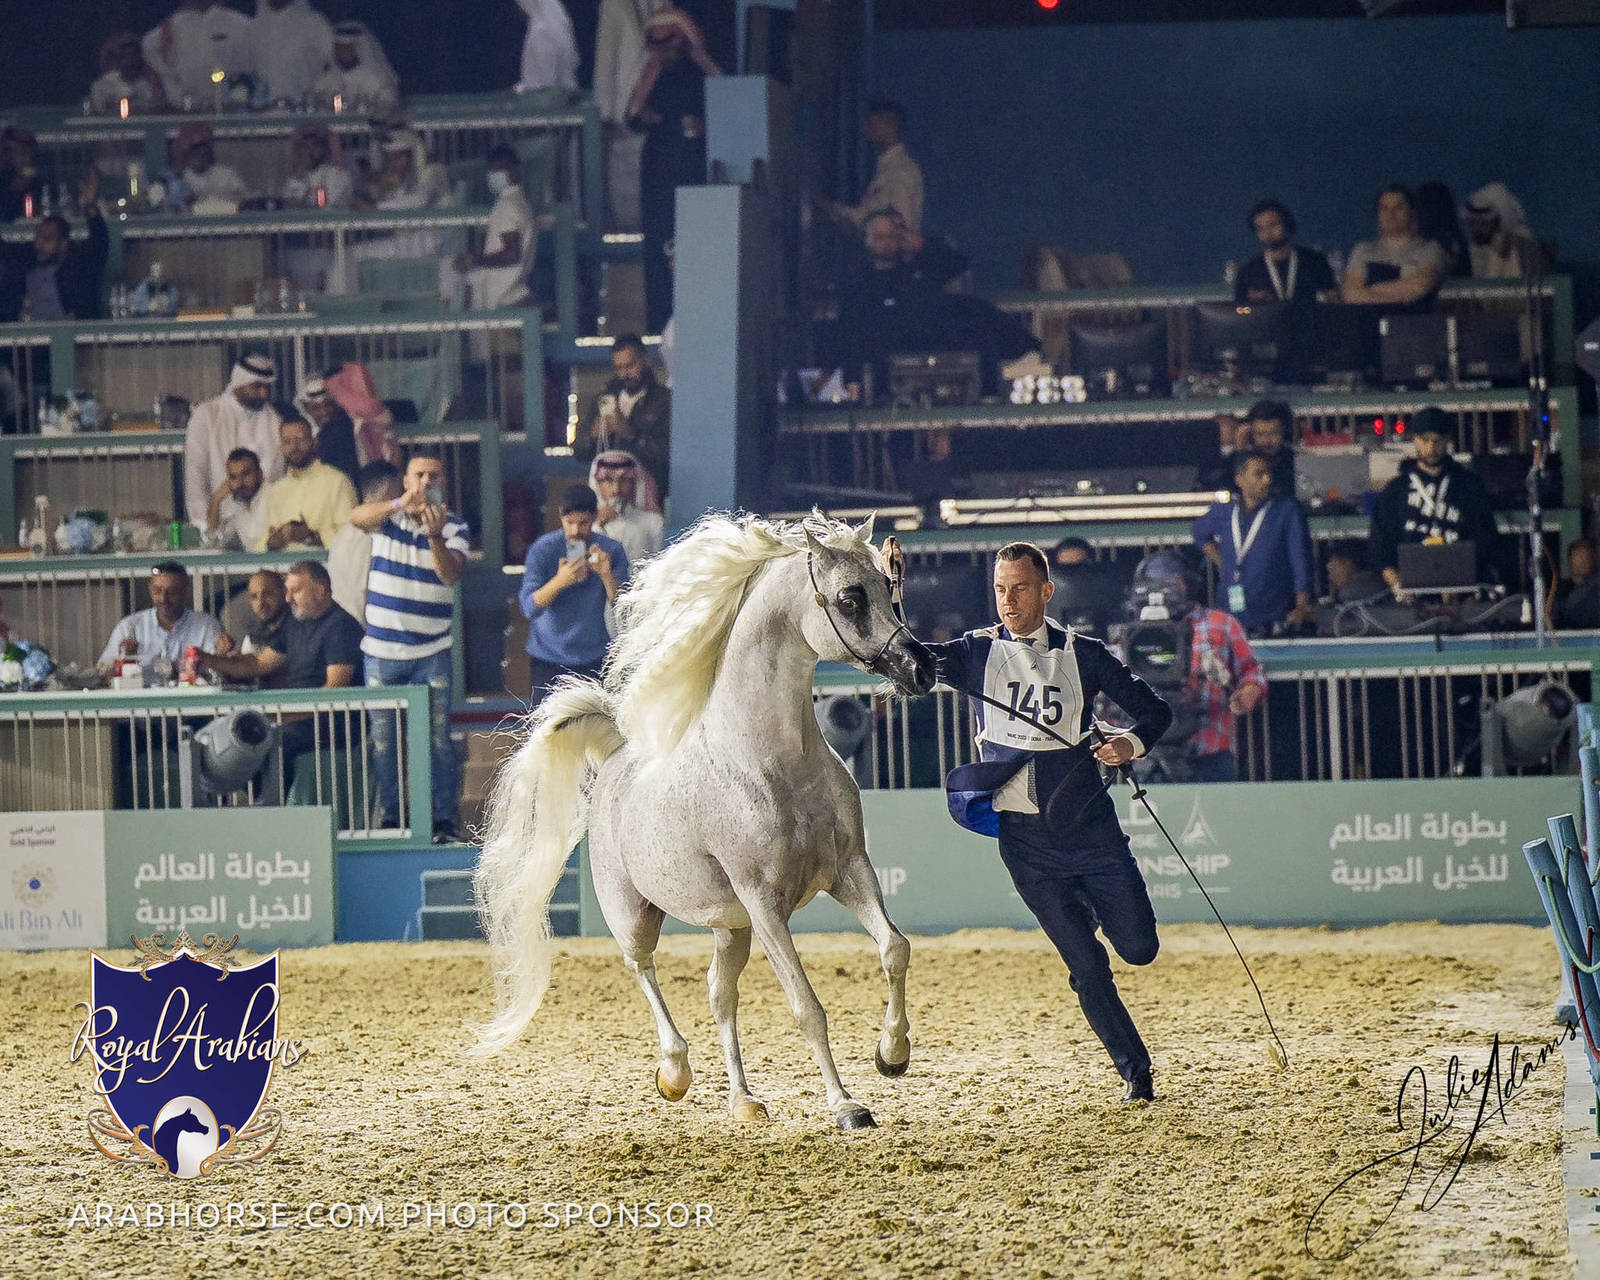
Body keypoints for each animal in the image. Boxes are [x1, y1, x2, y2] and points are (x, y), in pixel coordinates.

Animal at [474, 512, 936, 1129]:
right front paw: (846, 1106)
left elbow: (894, 949)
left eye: (890, 586)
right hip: (638, 915)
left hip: (730, 927)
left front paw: (892, 1054)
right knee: (643, 969)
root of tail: (617, 755)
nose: (922, 668)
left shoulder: (849, 872)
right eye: (850, 598)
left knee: (721, 993)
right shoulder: (765, 904)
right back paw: (674, 1073)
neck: (773, 763)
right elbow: (807, 1006)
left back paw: (744, 1100)